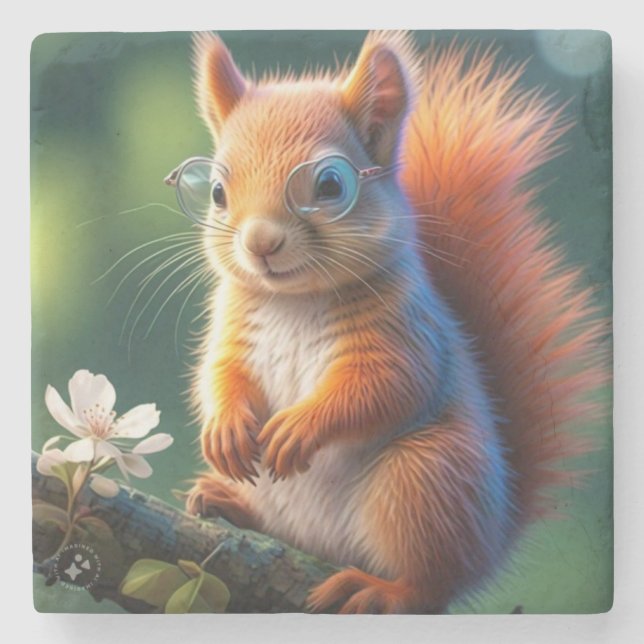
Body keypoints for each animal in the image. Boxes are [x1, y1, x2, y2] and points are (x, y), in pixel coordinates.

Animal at [183, 31, 607, 613]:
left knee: (429, 583)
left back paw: (379, 589)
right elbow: (219, 376)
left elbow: (382, 387)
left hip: (424, 477)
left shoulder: (406, 333)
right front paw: (224, 427)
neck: (294, 299)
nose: (260, 244)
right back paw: (224, 499)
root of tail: (491, 546)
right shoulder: (231, 330)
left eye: (330, 185)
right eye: (217, 192)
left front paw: (301, 426)